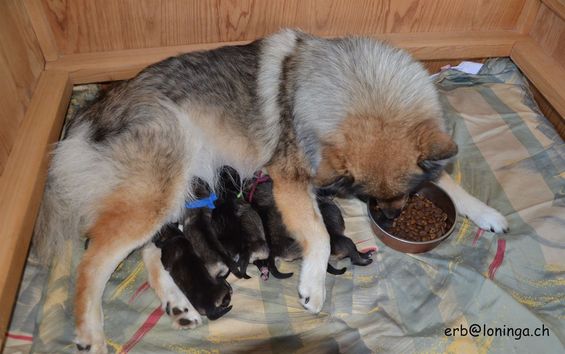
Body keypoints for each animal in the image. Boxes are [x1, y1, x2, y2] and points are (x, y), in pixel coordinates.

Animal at [33, 28, 506, 352]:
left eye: (402, 196)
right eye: (369, 197)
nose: (389, 218)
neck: (362, 91)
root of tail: (95, 110)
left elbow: (446, 179)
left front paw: (485, 212)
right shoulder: (290, 181)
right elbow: (318, 235)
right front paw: (313, 285)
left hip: (174, 195)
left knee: (155, 253)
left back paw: (179, 307)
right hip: (160, 188)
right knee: (93, 262)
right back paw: (92, 333)